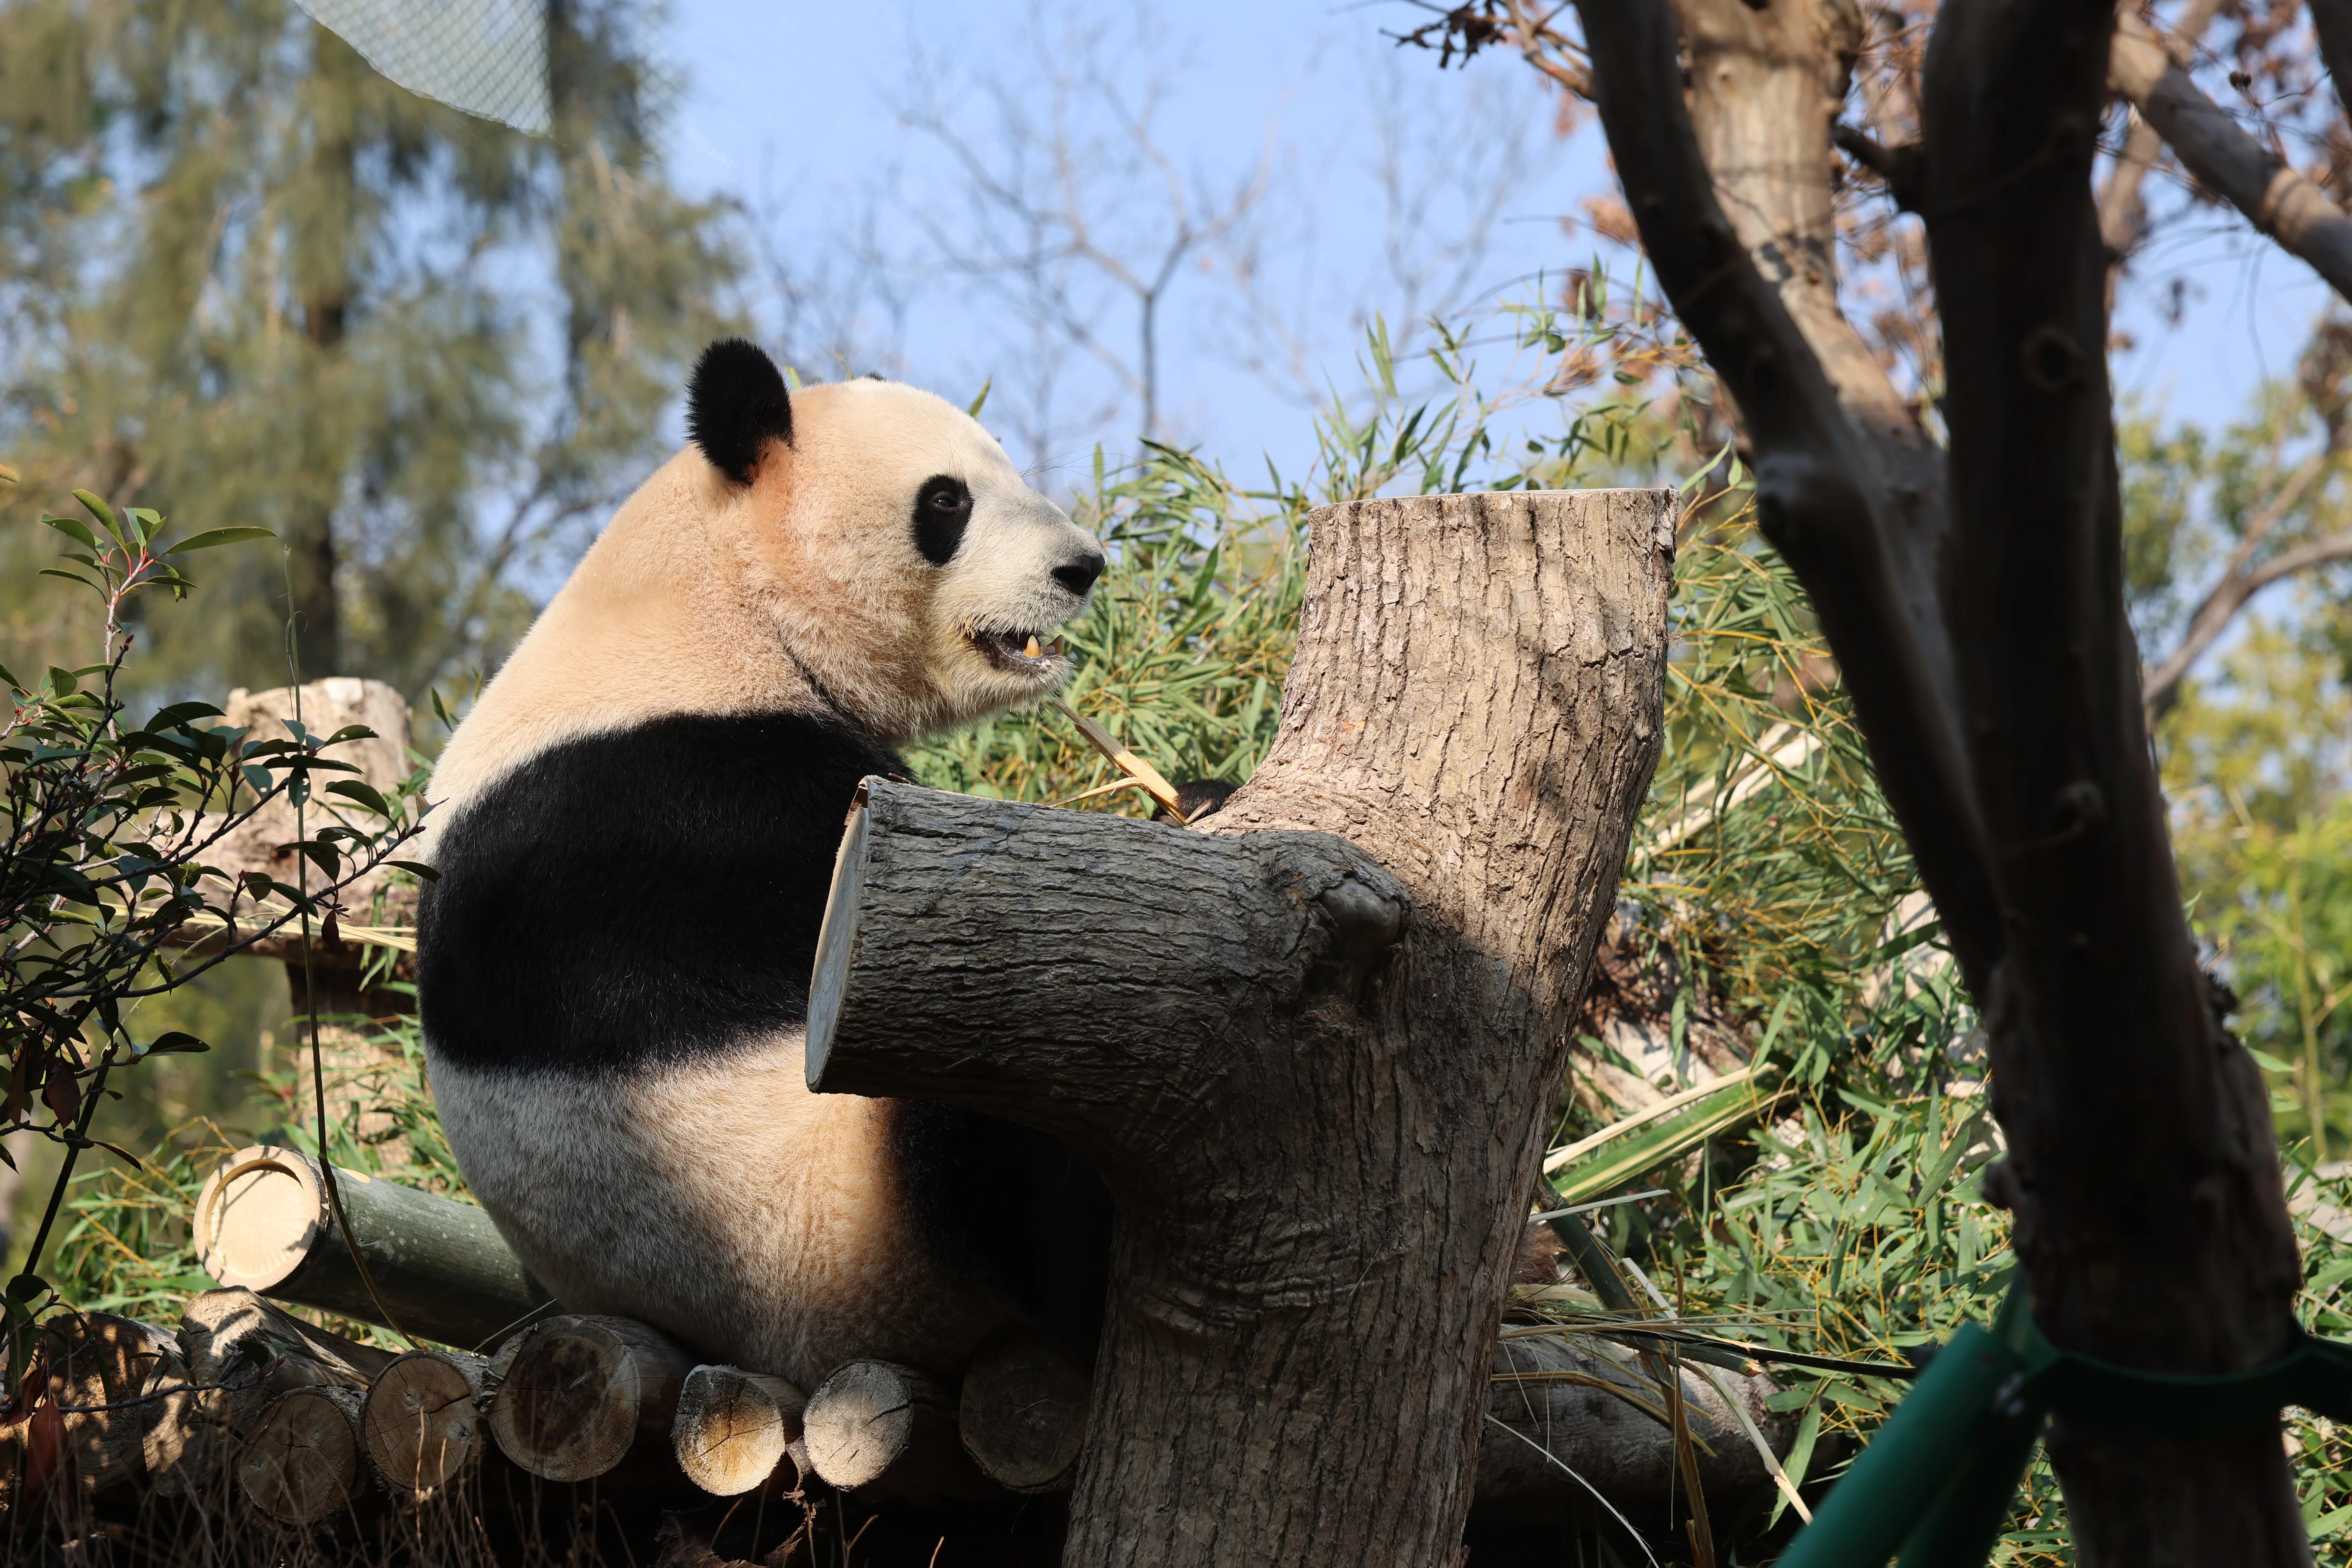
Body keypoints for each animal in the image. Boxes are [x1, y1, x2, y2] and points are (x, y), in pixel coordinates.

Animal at [415, 339, 1116, 1385]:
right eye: (946, 501)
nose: (1081, 567)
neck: (722, 600)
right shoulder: (680, 794)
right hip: (843, 1236)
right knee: (989, 1139)